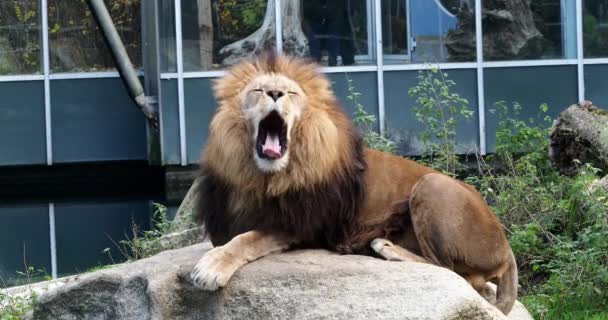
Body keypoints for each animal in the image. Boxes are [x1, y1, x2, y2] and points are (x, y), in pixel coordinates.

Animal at [191, 52, 516, 316]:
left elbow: (248, 238)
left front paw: (210, 268)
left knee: (457, 275)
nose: (275, 92)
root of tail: (506, 245)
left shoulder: (301, 225)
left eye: (291, 92)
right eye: (257, 90)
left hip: (432, 183)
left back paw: (386, 247)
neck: (263, 177)